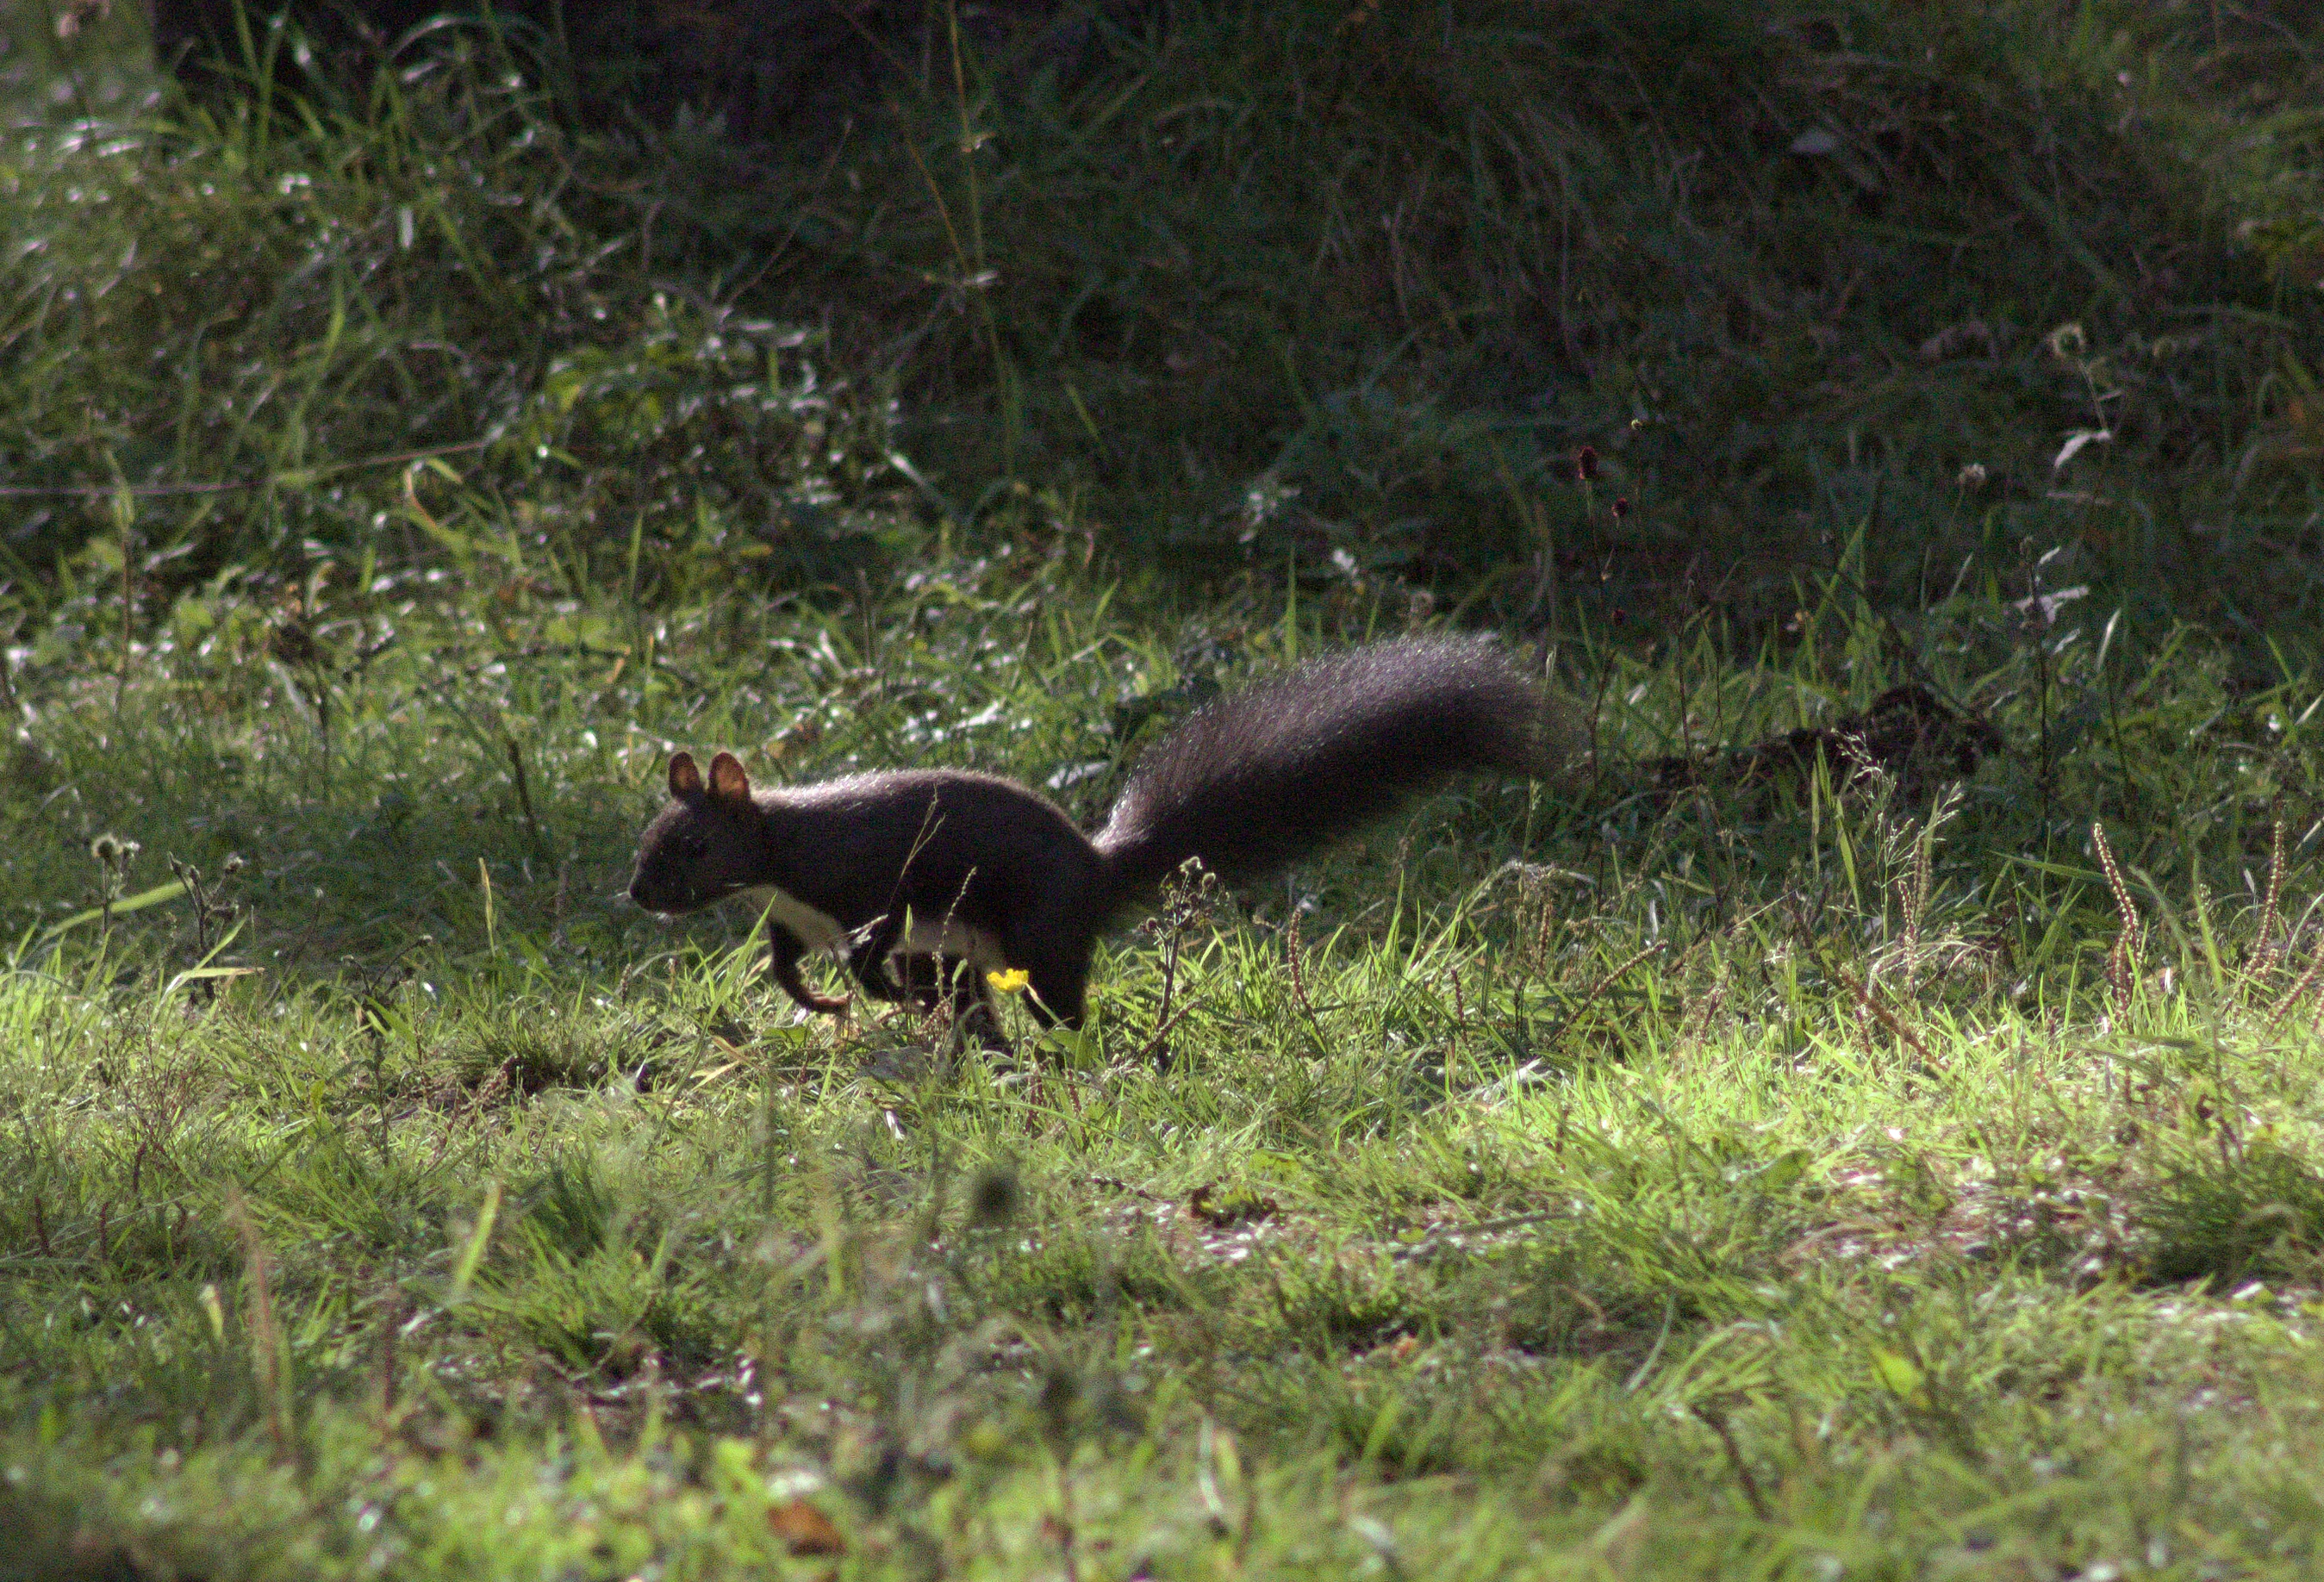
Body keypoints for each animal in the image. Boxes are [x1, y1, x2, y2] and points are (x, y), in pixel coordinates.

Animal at [627, 634, 1576, 1034]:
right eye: (647, 839)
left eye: (694, 847)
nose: (637, 896)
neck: (779, 860)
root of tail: (1097, 866)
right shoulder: (791, 916)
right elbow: (783, 964)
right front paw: (816, 999)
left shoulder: (869, 874)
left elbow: (876, 928)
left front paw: (867, 985)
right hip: (971, 959)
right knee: (974, 1007)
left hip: (1040, 940)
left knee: (1057, 1007)